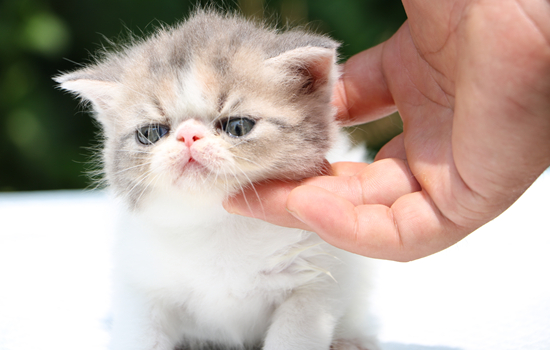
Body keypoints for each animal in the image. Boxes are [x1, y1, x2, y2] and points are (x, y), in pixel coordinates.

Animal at [56, 9, 380, 348]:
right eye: (151, 133)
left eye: (237, 127)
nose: (188, 135)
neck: (219, 222)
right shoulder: (142, 283)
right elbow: (141, 334)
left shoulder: (318, 277)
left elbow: (295, 335)